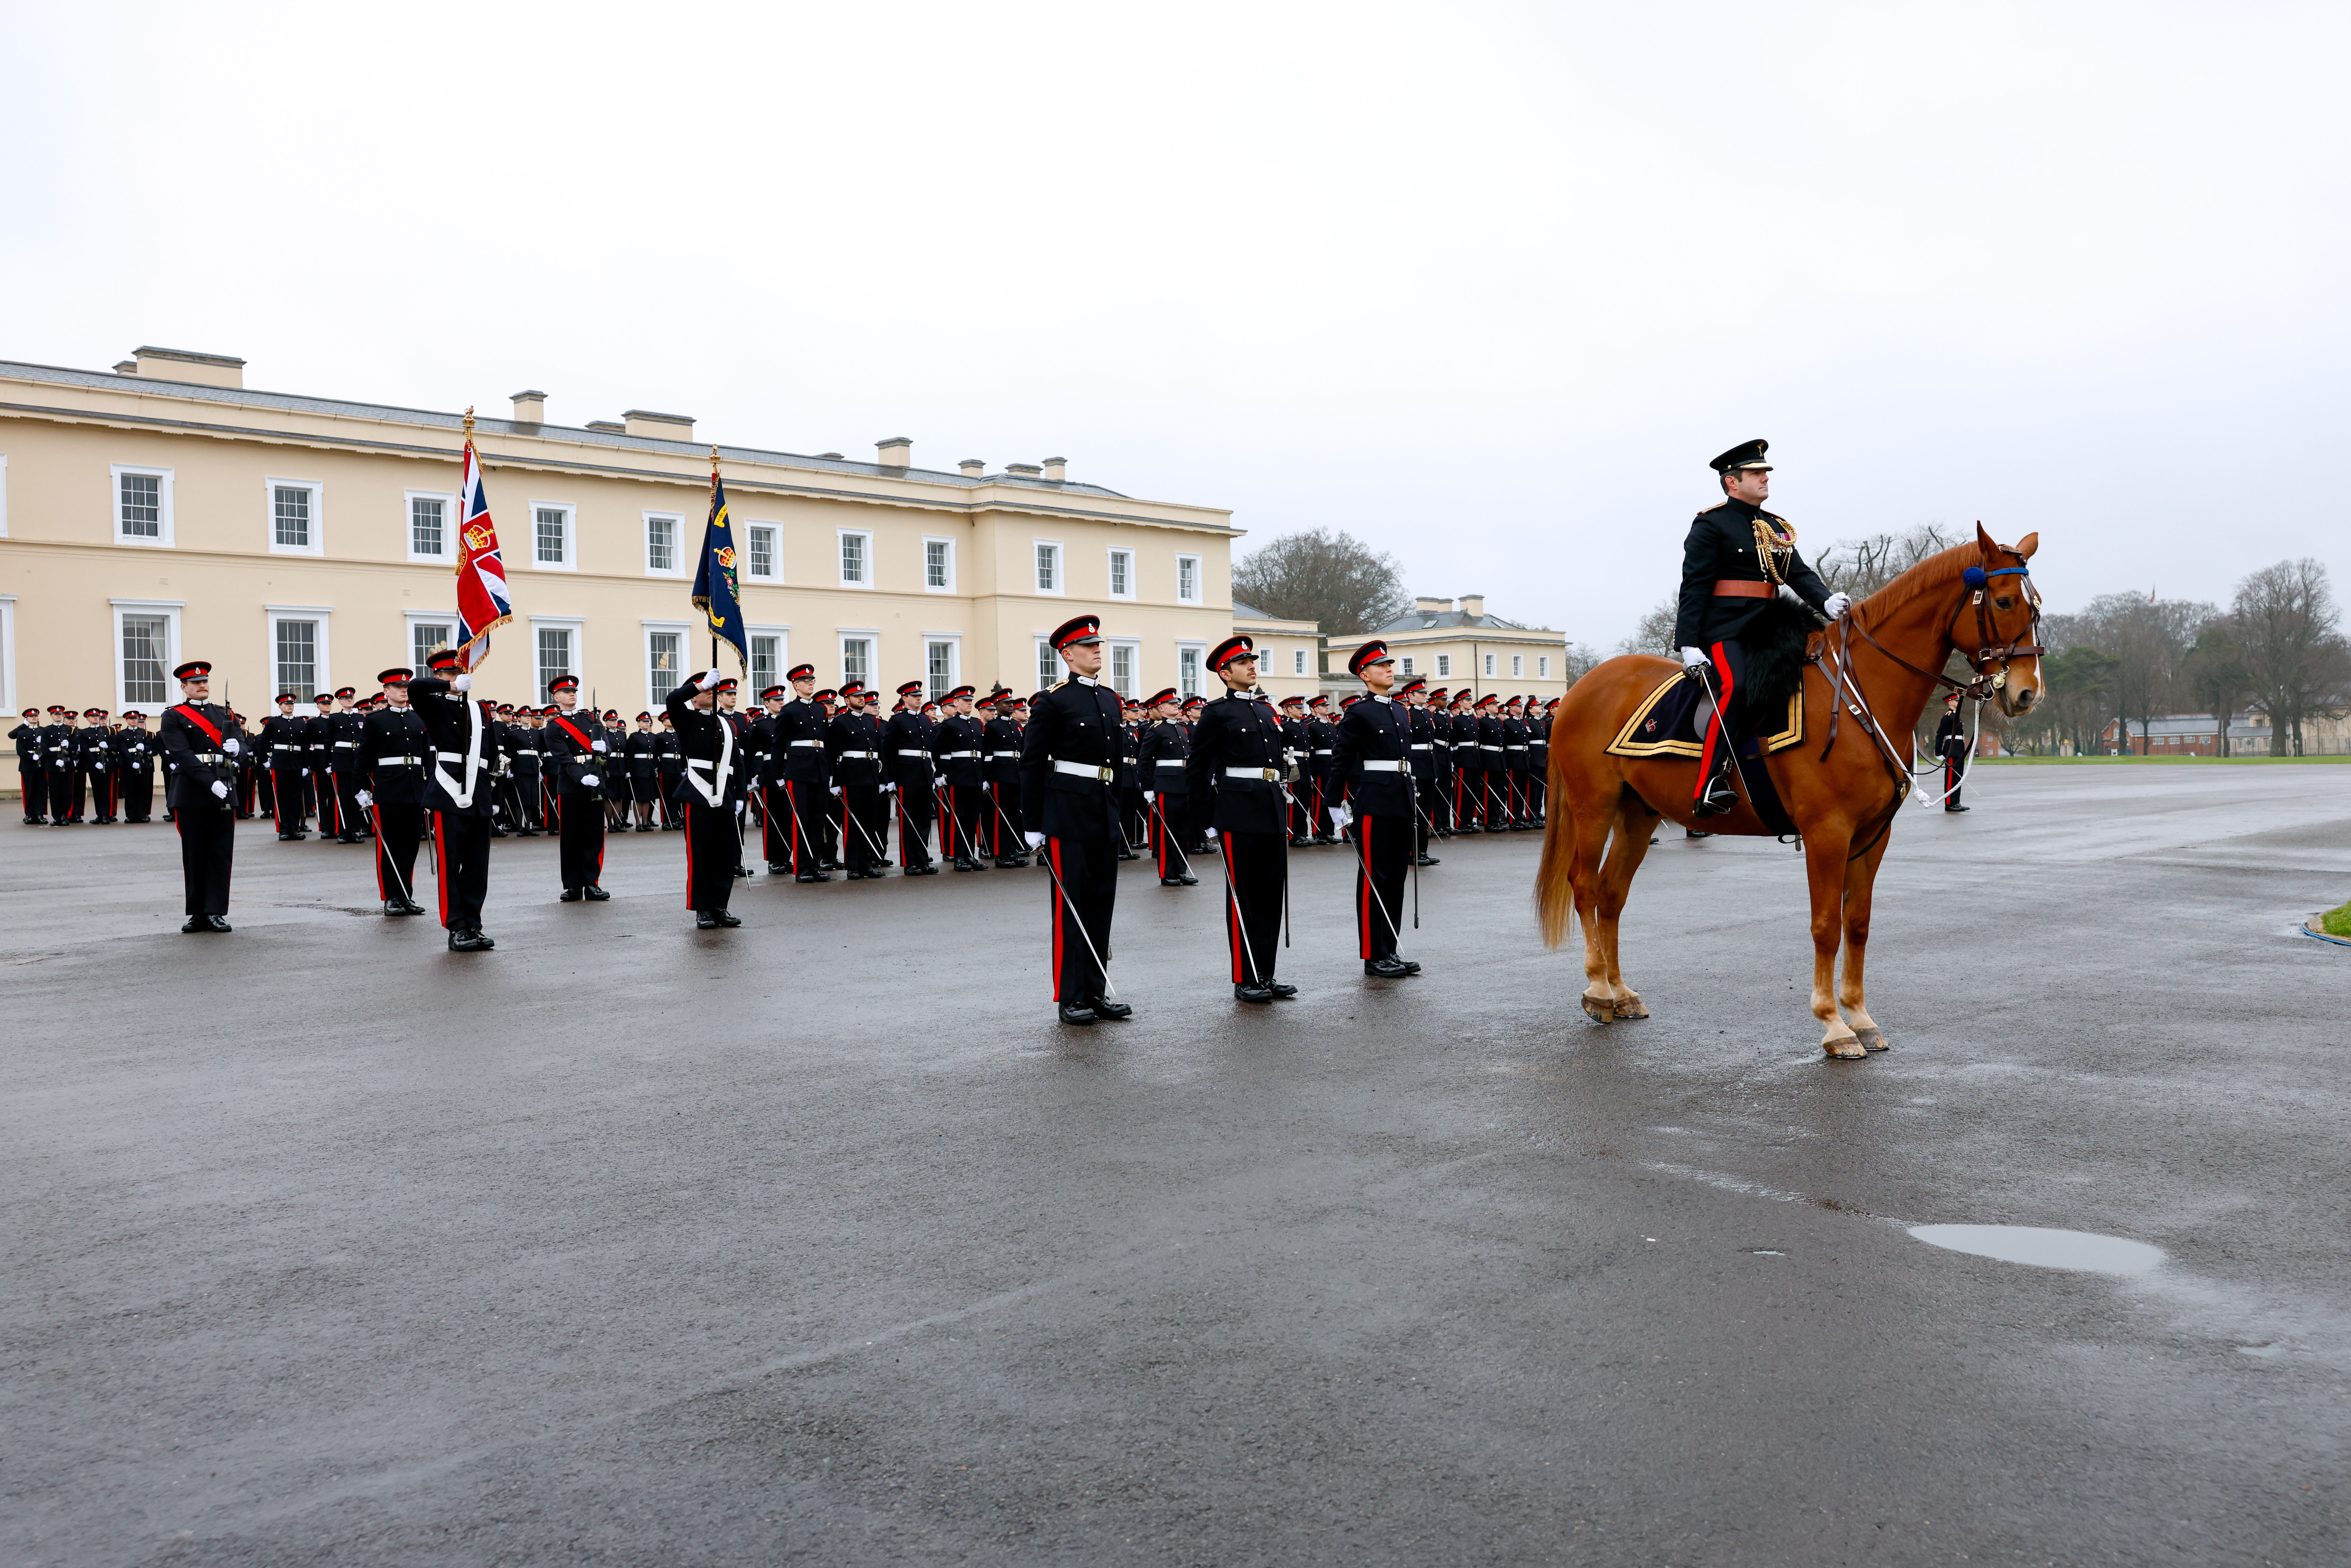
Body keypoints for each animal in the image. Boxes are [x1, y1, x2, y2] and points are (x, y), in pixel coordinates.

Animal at [1542, 534, 2041, 1063]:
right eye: (2004, 602)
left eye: (2037, 606)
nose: (2028, 693)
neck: (1858, 696)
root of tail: (1583, 687)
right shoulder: (1827, 833)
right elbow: (1825, 926)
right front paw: (1834, 1024)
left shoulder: (1872, 836)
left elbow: (1857, 923)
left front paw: (1861, 1017)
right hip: (1594, 806)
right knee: (1585, 886)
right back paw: (1599, 991)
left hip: (1638, 814)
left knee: (1612, 895)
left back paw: (1621, 993)